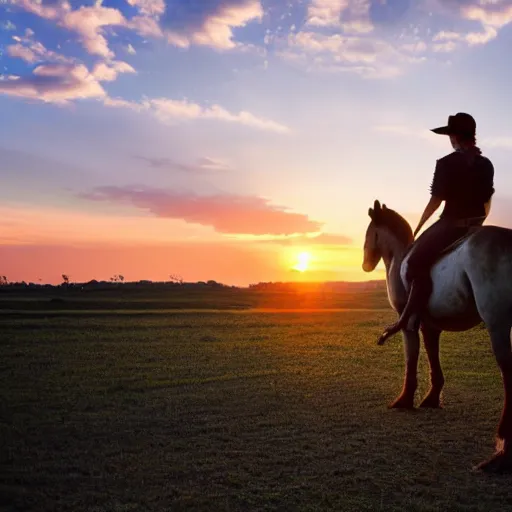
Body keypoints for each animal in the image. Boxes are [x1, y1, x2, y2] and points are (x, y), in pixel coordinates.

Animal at [360, 200, 512, 472]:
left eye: (370, 232)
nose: (365, 265)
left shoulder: (409, 325)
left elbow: (411, 358)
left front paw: (404, 400)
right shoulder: (429, 326)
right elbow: (433, 358)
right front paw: (431, 398)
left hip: (498, 323)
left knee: (507, 371)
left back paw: (502, 449)